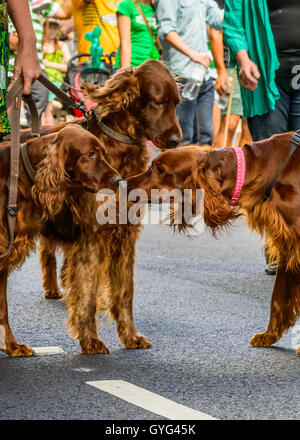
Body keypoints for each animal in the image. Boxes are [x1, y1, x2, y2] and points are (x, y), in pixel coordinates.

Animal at [29, 59, 182, 354]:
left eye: (177, 103)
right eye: (158, 102)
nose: (177, 142)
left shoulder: (126, 233)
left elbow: (124, 292)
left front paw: (130, 336)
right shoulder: (92, 234)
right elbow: (87, 293)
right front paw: (90, 340)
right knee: (48, 252)